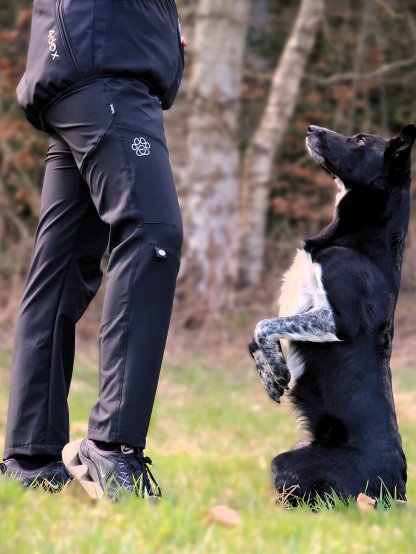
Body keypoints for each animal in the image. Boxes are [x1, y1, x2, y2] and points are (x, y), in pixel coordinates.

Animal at [249, 123, 414, 502]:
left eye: (360, 140)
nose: (311, 127)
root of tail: (395, 490)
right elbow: (256, 337)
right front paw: (271, 374)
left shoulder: (339, 319)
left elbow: (264, 325)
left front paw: (277, 370)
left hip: (287, 464)